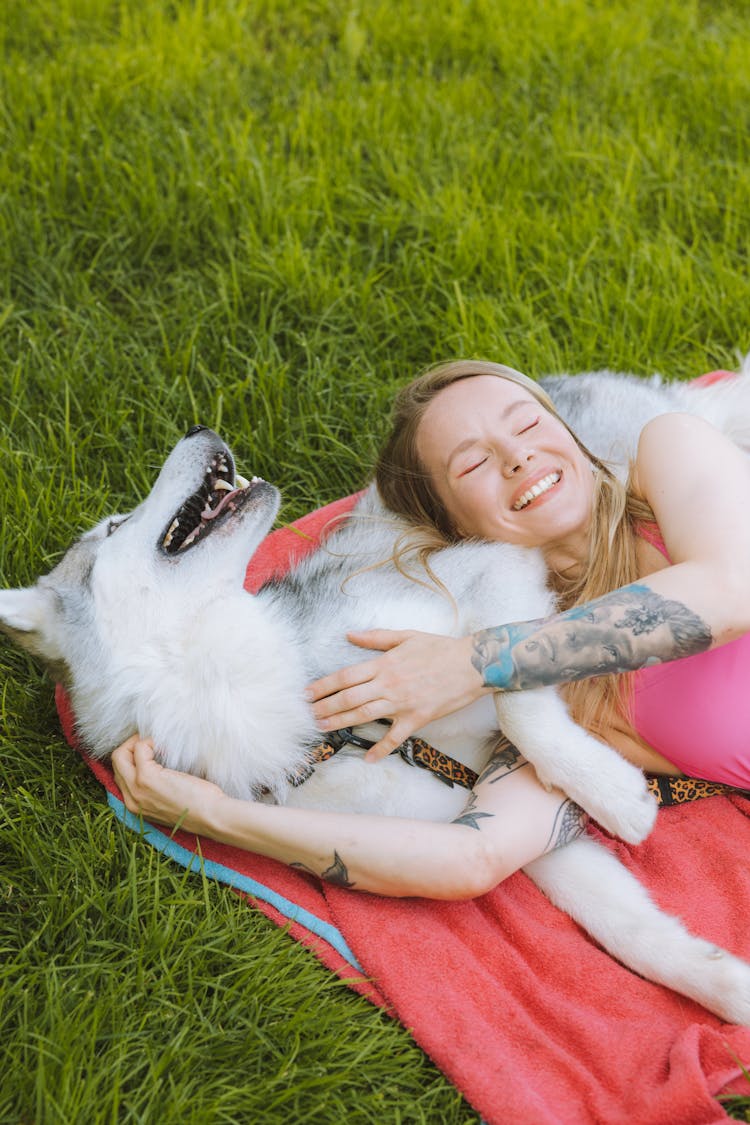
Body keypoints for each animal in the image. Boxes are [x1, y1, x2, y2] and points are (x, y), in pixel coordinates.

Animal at [1, 364, 750, 1026]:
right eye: (113, 527)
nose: (198, 426)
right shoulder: (494, 821)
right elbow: (628, 929)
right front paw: (727, 988)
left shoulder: (496, 566)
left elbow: (509, 682)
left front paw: (615, 796)